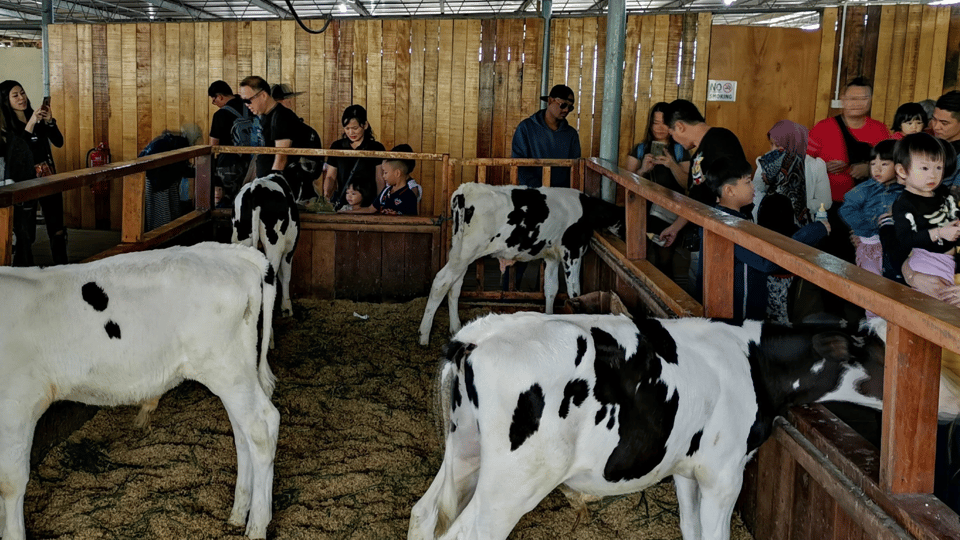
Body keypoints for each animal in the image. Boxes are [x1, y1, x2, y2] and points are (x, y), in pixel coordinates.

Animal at [2, 245, 282, 540]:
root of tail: (230, 253)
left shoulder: (16, 402)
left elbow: (10, 481)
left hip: (225, 367)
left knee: (261, 427)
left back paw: (257, 526)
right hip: (234, 370)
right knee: (242, 432)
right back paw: (239, 514)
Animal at [231, 173, 298, 316]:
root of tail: (256, 187)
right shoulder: (289, 249)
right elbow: (285, 276)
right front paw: (286, 307)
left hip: (242, 239)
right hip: (274, 247)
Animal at [406, 312, 892, 540]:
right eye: (887, 359)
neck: (752, 360)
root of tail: (478, 336)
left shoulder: (687, 467)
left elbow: (691, 529)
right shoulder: (724, 472)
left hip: (466, 449)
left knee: (424, 514)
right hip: (515, 480)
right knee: (466, 532)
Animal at [418, 185, 624, 346]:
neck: (586, 209)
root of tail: (465, 190)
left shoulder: (552, 257)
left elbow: (551, 289)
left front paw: (549, 317)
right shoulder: (572, 251)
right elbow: (574, 291)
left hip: (461, 251)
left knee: (455, 286)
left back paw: (455, 327)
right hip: (467, 251)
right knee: (441, 282)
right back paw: (423, 335)